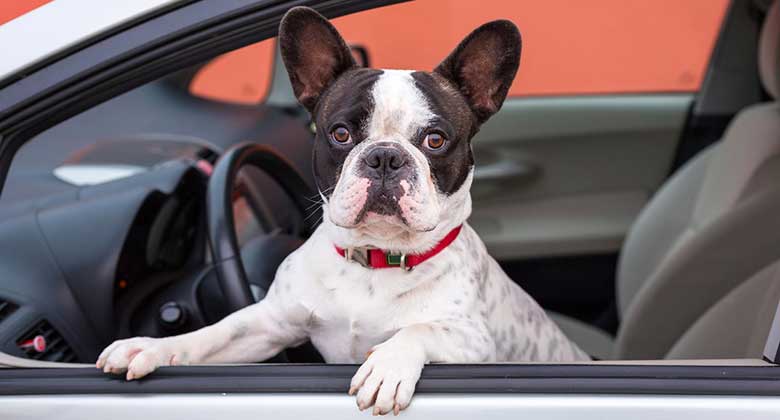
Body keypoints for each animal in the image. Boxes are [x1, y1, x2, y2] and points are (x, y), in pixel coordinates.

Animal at [96, 5, 584, 414]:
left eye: (435, 140)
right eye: (341, 133)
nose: (385, 156)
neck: (375, 258)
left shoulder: (474, 341)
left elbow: (420, 329)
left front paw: (386, 367)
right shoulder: (268, 323)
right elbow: (215, 333)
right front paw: (150, 347)